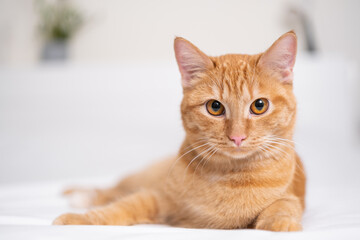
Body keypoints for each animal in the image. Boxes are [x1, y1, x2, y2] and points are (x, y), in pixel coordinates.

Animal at [54, 31, 306, 232]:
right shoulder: (158, 196)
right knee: (114, 189)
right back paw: (79, 196)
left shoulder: (292, 198)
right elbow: (122, 207)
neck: (230, 178)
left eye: (259, 105)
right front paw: (80, 219)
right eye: (215, 107)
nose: (237, 136)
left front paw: (281, 223)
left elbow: (284, 206)